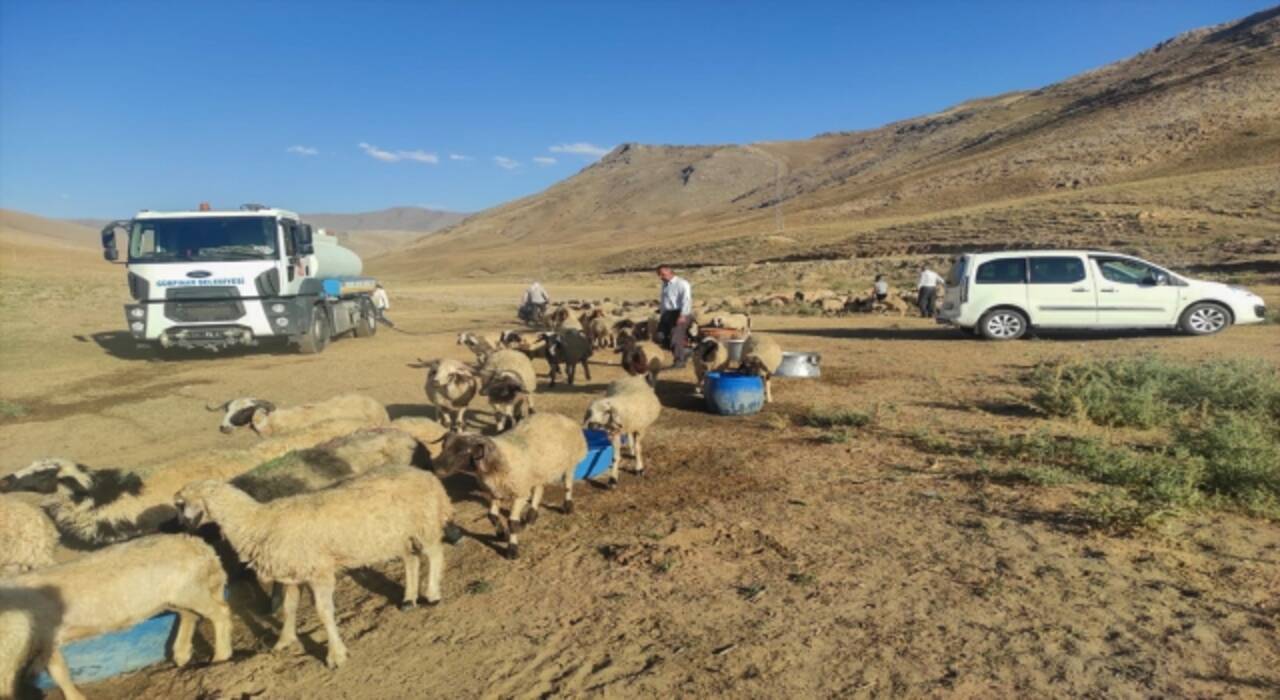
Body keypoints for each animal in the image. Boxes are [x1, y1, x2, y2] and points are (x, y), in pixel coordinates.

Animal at [2, 534, 231, 700]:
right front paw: (74, 696)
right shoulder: (46, 641)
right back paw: (182, 654)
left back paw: (221, 657)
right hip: (175, 596)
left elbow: (58, 673)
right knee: (189, 615)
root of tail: (201, 546)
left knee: (221, 612)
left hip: (189, 590)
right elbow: (59, 672)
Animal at [175, 463, 455, 670]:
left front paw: (336, 655)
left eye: (181, 504)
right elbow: (289, 609)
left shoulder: (319, 571)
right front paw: (284, 641)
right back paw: (409, 599)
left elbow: (323, 612)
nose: (182, 526)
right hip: (398, 533)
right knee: (411, 559)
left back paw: (432, 593)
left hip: (425, 522)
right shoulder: (292, 575)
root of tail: (422, 472)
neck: (258, 522)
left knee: (434, 553)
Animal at [435, 417, 586, 557]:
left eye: (463, 452)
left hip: (569, 463)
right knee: (539, 488)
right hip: (537, 471)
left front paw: (512, 550)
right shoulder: (495, 491)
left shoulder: (519, 493)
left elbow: (512, 523)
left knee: (567, 484)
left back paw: (568, 506)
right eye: (443, 446)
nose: (436, 468)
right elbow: (491, 515)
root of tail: (563, 417)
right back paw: (531, 516)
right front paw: (502, 534)